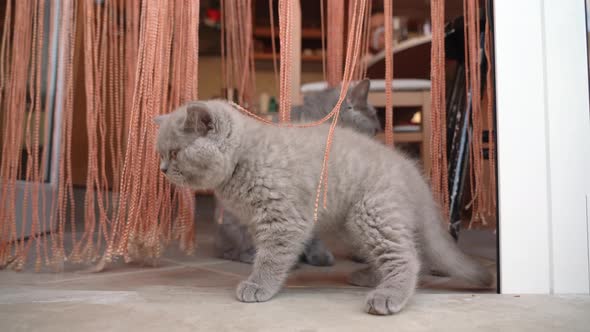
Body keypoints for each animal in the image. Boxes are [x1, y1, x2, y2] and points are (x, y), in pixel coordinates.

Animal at [155, 100, 492, 316]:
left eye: (175, 153)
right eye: (161, 153)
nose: (162, 169)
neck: (243, 158)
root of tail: (414, 174)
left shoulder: (282, 219)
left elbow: (271, 256)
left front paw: (258, 285)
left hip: (371, 210)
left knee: (408, 257)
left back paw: (388, 295)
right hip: (352, 224)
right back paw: (370, 276)